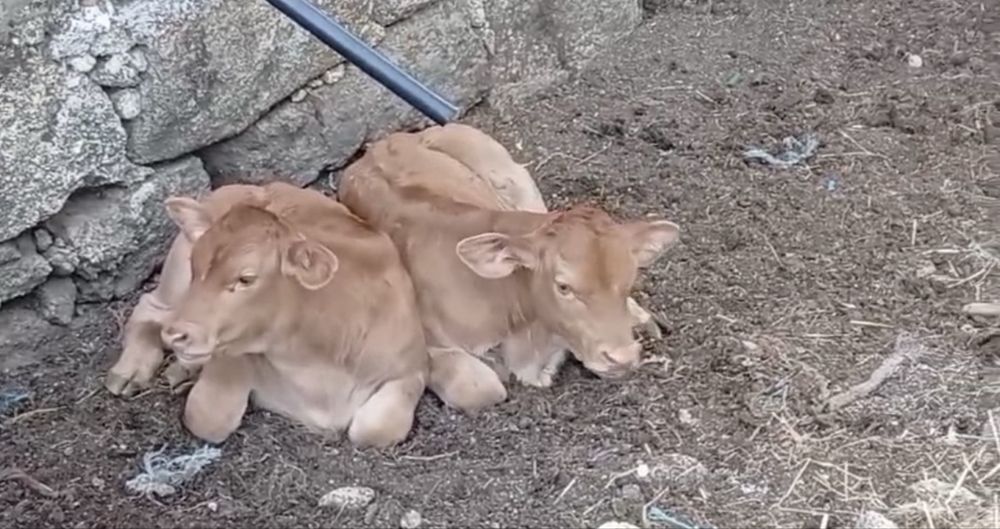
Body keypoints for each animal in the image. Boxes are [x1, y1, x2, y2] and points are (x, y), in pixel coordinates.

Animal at [104, 182, 429, 448]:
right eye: (196, 266)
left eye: (246, 278)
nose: (177, 334)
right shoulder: (230, 352)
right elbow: (208, 416)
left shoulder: (412, 368)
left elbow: (376, 430)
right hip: (174, 288)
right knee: (148, 307)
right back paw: (131, 371)